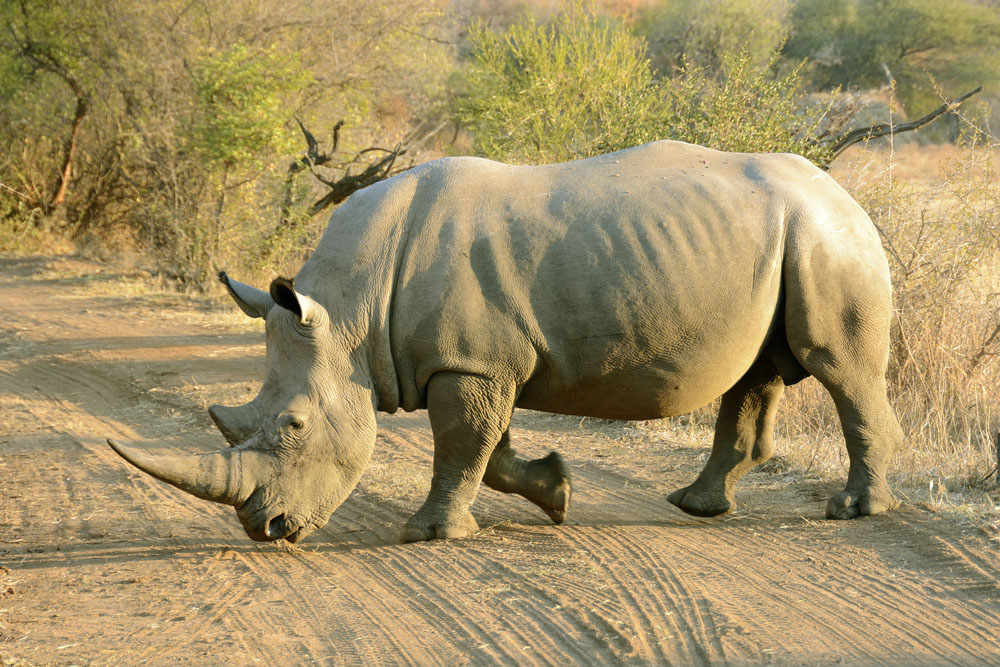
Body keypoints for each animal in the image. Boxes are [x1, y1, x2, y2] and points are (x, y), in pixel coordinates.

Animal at [108, 140, 903, 544]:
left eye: (294, 427)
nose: (266, 528)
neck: (349, 312)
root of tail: (844, 190)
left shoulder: (470, 363)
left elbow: (464, 443)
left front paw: (430, 534)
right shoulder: (482, 358)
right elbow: (490, 449)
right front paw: (557, 493)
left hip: (829, 240)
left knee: (840, 367)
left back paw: (853, 511)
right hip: (785, 241)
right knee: (757, 373)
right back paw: (696, 507)